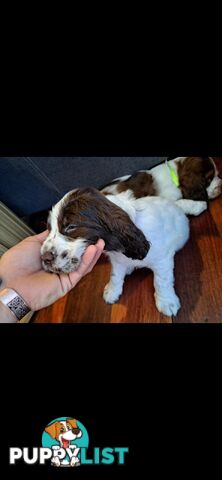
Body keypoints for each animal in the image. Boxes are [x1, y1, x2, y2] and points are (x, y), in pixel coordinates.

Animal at [40, 188, 189, 318]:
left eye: (71, 227)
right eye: (49, 229)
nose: (44, 258)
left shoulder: (162, 260)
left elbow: (161, 281)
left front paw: (167, 302)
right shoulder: (117, 261)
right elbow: (115, 276)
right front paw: (112, 291)